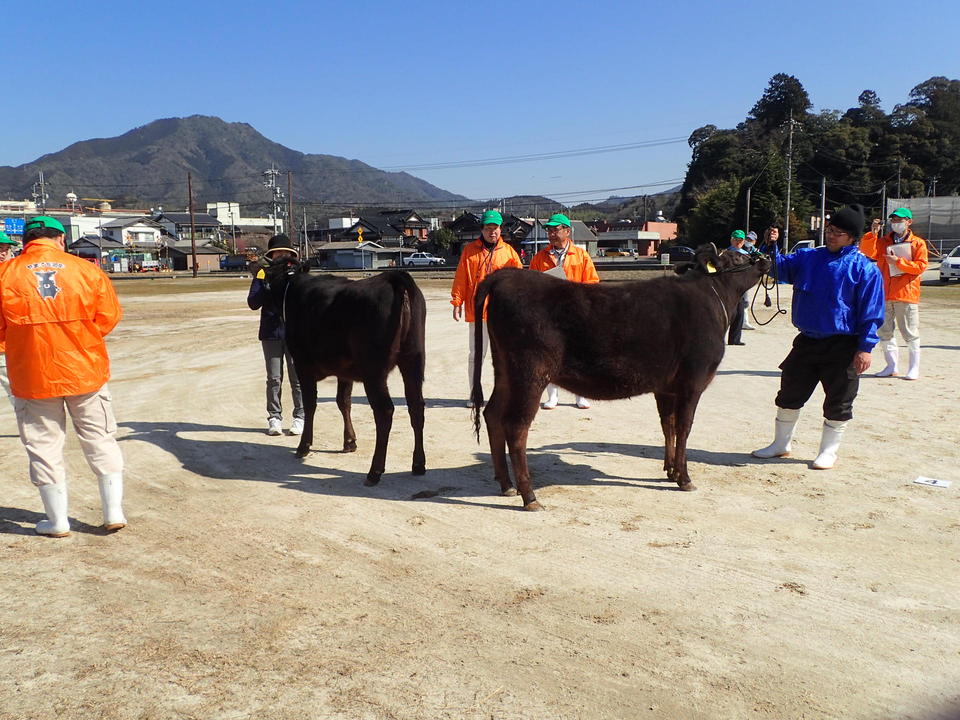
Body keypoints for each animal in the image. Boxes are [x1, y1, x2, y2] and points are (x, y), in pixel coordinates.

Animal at [264, 258, 426, 484]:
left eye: (266, 283)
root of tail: (392, 277)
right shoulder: (344, 370)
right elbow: (343, 401)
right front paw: (349, 441)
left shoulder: (302, 364)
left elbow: (310, 404)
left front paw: (304, 446)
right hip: (413, 360)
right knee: (416, 406)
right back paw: (418, 464)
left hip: (374, 371)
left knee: (385, 411)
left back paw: (374, 471)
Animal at [470, 245, 772, 510]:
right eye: (736, 255)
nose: (766, 258)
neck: (712, 297)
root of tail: (508, 275)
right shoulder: (693, 381)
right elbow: (684, 427)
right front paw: (684, 478)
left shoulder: (666, 387)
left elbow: (668, 426)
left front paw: (670, 471)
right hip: (530, 373)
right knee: (516, 426)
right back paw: (529, 496)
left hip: (505, 370)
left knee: (493, 413)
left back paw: (507, 485)